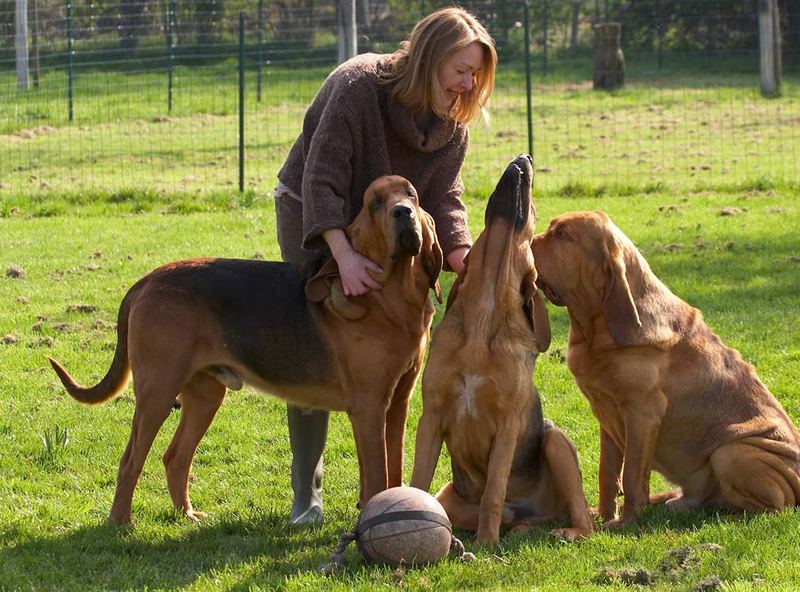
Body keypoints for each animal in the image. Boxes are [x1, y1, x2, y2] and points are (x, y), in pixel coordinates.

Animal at [48, 175, 444, 524]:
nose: (403, 212)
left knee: (176, 457)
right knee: (130, 459)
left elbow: (394, 469)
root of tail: (146, 281)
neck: (390, 299)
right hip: (157, 393)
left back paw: (186, 514)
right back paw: (121, 522)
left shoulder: (397, 404)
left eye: (411, 195)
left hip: (205, 395)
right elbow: (377, 475)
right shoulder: (369, 408)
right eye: (375, 202)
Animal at [412, 155, 592, 544]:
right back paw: (522, 527)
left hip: (556, 441)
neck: (485, 310)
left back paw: (562, 530)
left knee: (584, 520)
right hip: (449, 496)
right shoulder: (431, 417)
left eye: (534, 208)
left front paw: (486, 542)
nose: (525, 157)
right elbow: (417, 482)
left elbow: (493, 491)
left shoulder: (507, 426)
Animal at [532, 209, 800, 528]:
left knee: (773, 507)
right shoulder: (605, 415)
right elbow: (607, 472)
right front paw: (604, 515)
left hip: (731, 451)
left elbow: (632, 474)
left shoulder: (643, 413)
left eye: (563, 234)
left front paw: (625, 523)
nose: (526, 241)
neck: (596, 331)